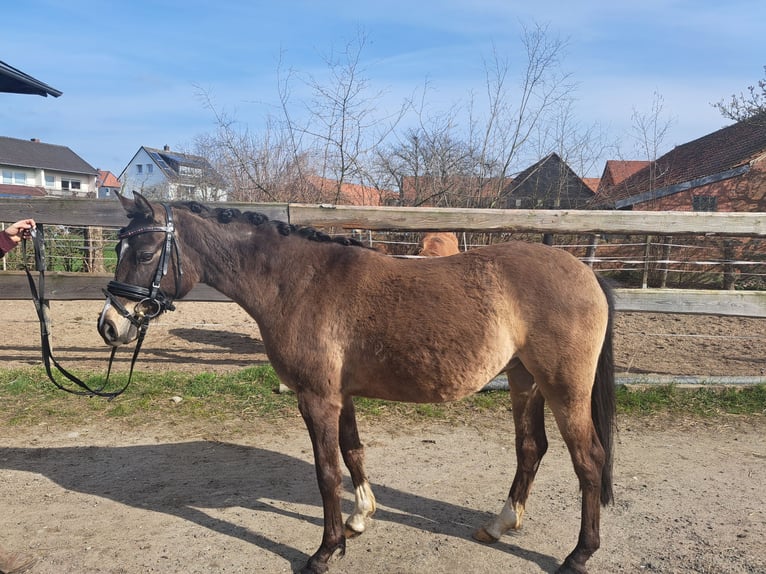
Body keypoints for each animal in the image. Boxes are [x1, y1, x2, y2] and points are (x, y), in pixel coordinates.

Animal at [99, 195, 620, 574]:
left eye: (144, 253)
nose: (109, 325)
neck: (299, 283)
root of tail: (586, 273)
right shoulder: (340, 397)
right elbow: (352, 453)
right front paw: (359, 518)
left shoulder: (316, 400)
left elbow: (327, 473)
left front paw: (324, 551)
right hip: (524, 381)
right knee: (531, 448)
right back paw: (500, 524)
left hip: (563, 388)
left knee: (589, 459)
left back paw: (579, 554)